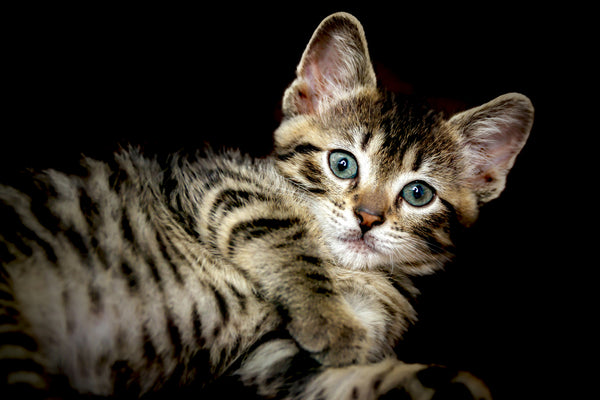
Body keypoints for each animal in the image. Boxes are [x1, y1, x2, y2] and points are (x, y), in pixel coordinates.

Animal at [0, 10, 536, 398]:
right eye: (343, 164)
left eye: (418, 194)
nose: (367, 217)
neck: (352, 273)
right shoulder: (213, 180)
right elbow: (284, 236)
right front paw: (328, 318)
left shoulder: (263, 359)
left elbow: (332, 380)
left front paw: (432, 383)